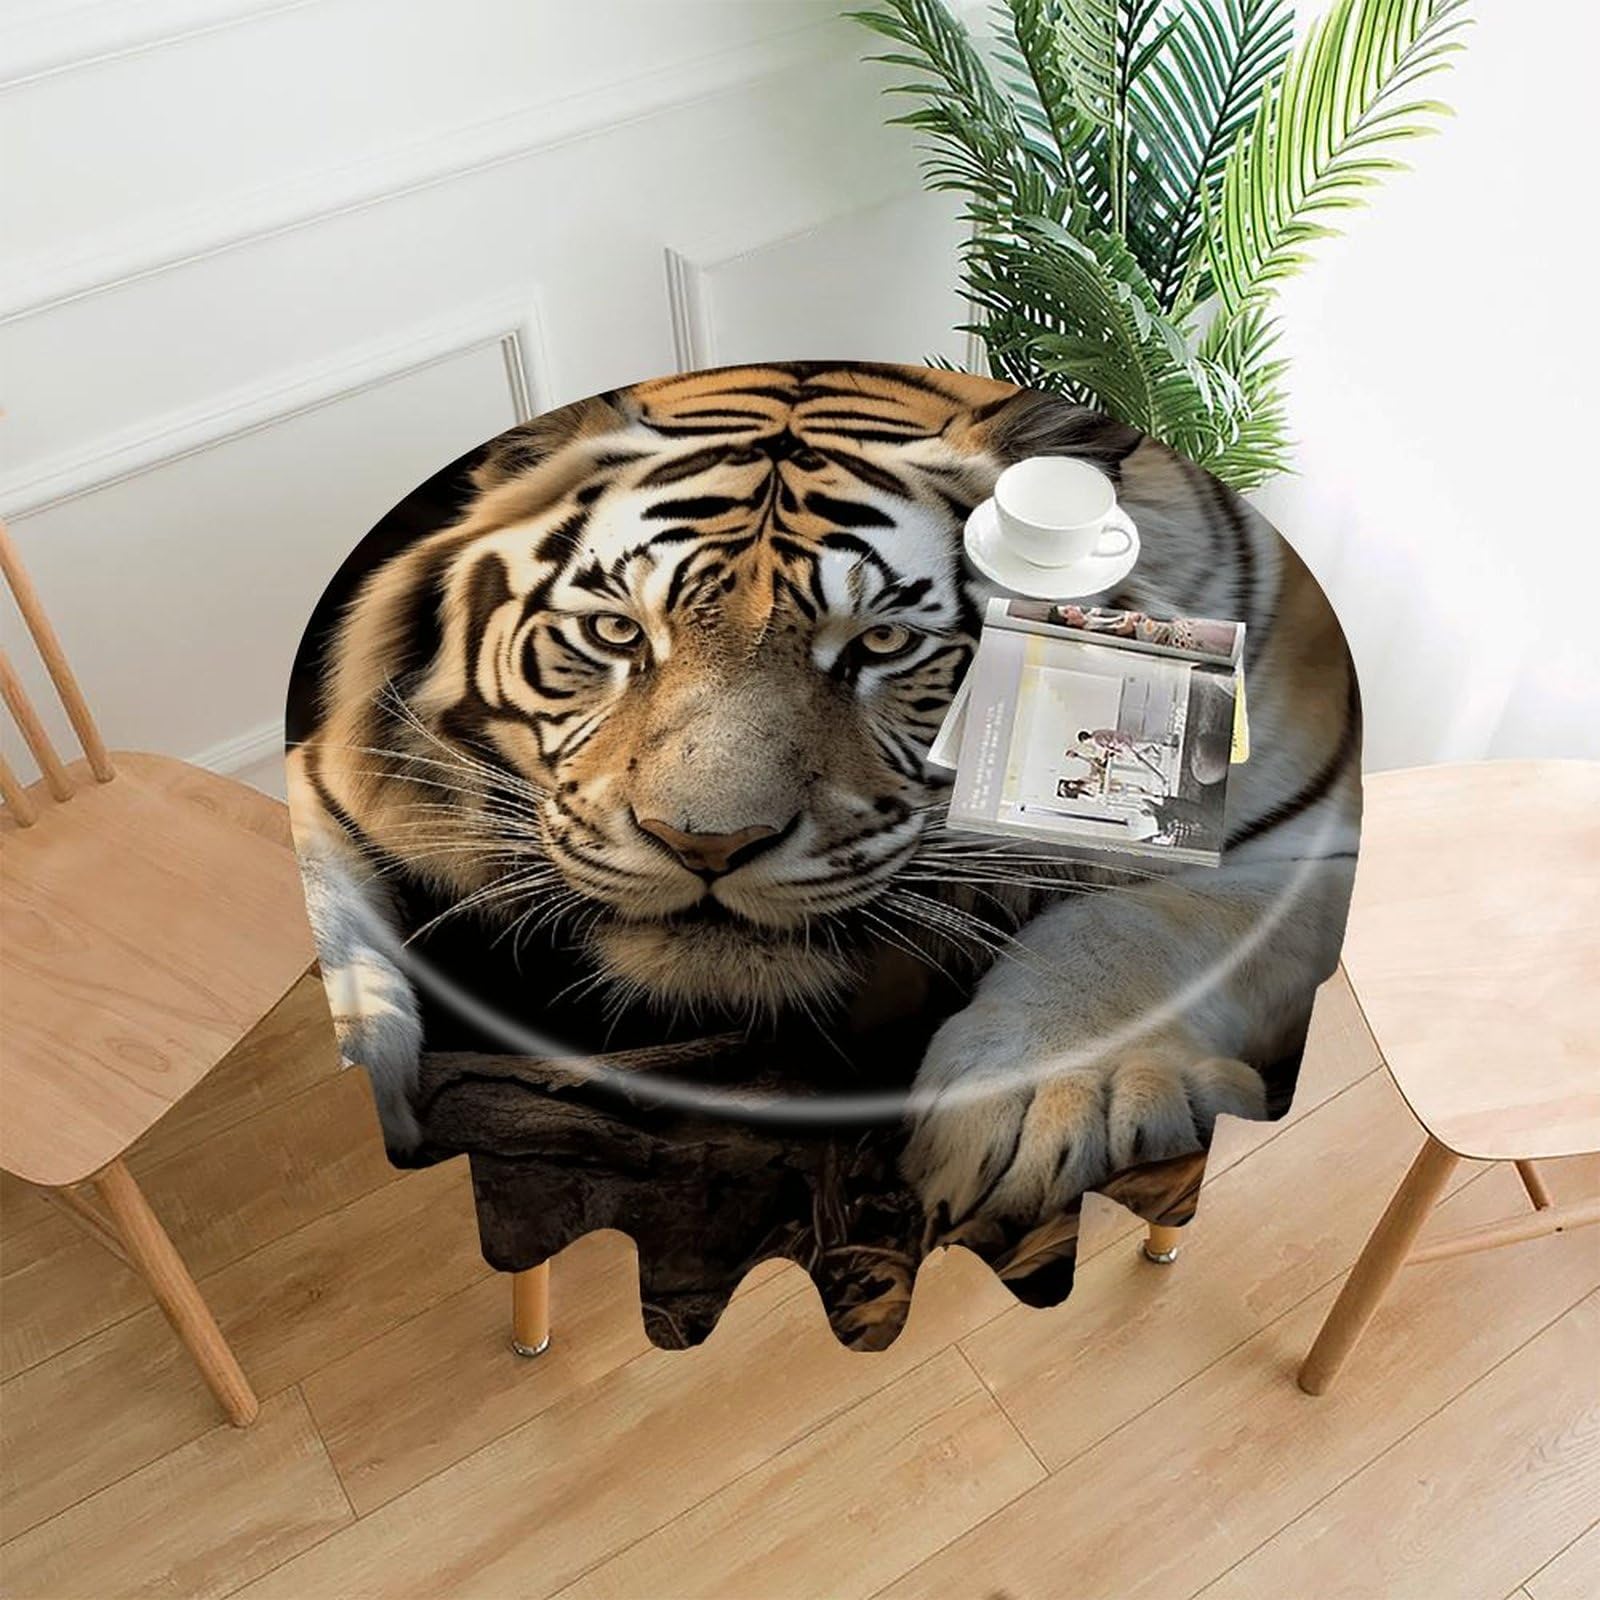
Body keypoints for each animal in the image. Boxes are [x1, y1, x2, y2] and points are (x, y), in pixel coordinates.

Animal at [286, 360, 1360, 1262]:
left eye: (882, 642)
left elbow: (1134, 922)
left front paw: (1044, 1097)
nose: (704, 844)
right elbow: (323, 916)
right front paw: (366, 1072)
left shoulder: (1316, 845)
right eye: (617, 633)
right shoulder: (328, 783)